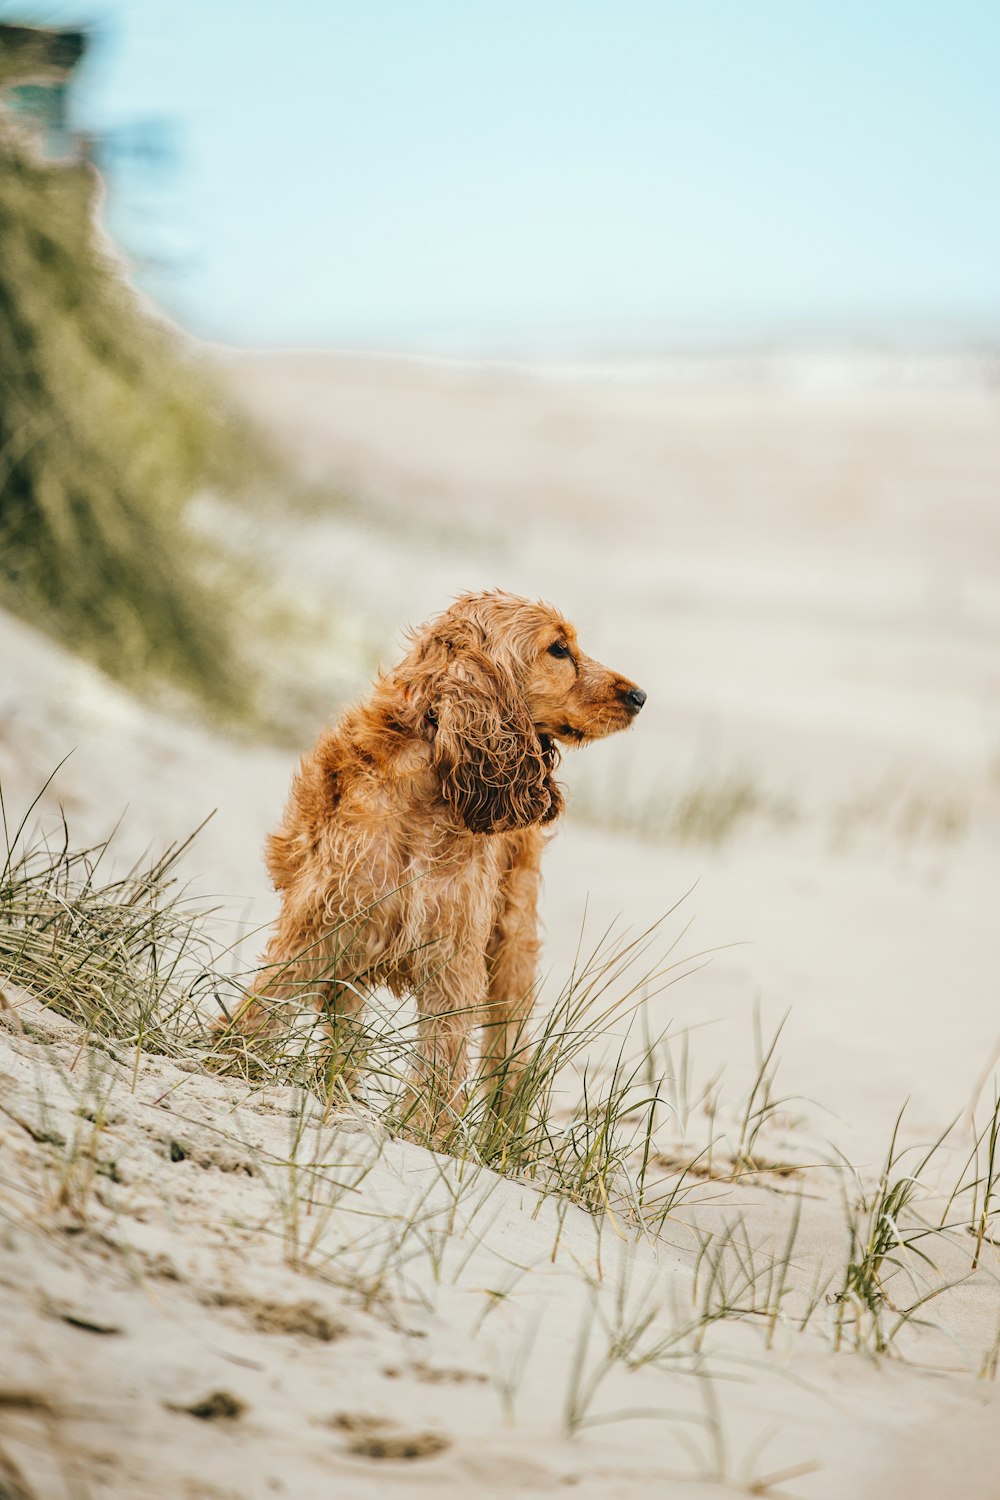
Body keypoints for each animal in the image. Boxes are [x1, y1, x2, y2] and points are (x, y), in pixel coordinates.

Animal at [223, 585, 644, 1128]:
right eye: (558, 649)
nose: (640, 697)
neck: (430, 776)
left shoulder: (454, 955)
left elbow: (439, 1061)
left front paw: (420, 1132)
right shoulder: (321, 923)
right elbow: (266, 1006)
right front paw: (226, 1060)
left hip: (511, 942)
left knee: (508, 1054)